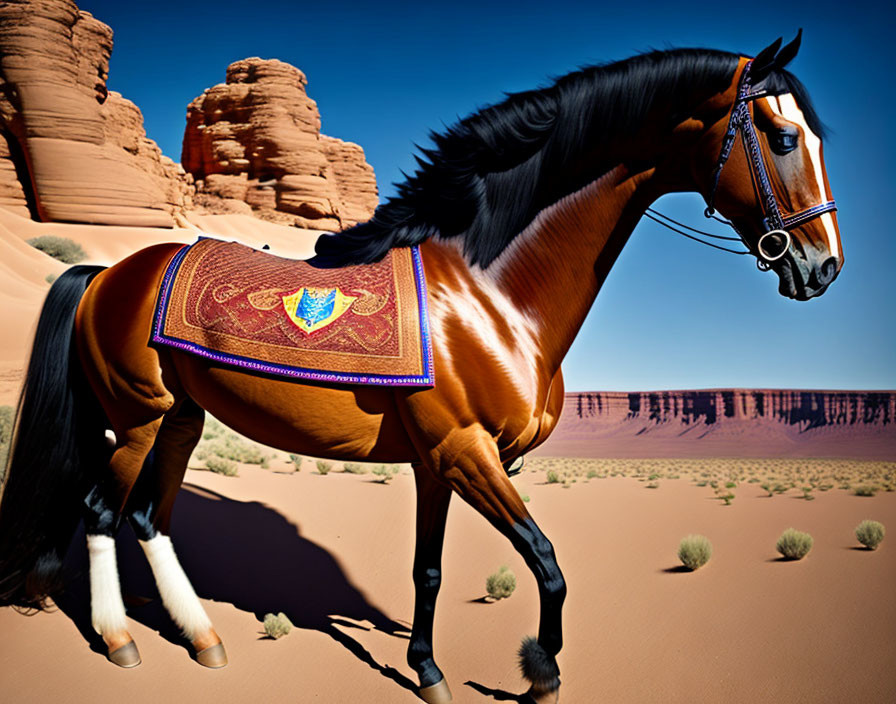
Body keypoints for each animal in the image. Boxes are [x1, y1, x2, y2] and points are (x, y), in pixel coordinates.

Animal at [0, 34, 840, 704]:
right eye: (779, 135)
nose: (821, 265)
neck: (488, 289)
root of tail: (106, 274)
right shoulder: (467, 453)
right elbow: (547, 561)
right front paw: (540, 673)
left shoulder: (439, 464)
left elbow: (427, 571)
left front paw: (429, 671)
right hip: (139, 415)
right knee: (102, 514)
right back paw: (121, 641)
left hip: (181, 418)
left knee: (149, 517)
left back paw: (205, 639)